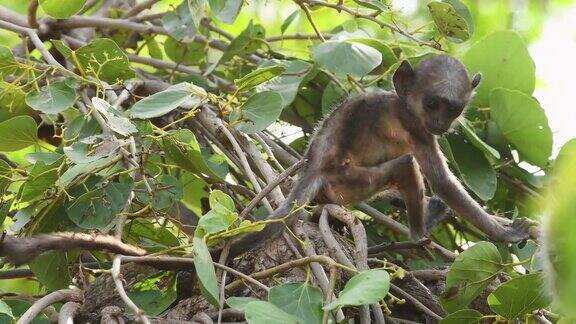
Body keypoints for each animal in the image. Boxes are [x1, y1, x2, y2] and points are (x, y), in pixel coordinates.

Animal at [226, 55, 536, 258]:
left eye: (453, 109)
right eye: (432, 103)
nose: (441, 123)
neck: (402, 104)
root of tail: (314, 167)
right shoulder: (418, 131)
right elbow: (443, 184)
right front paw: (503, 233)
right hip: (348, 183)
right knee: (406, 166)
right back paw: (420, 232)